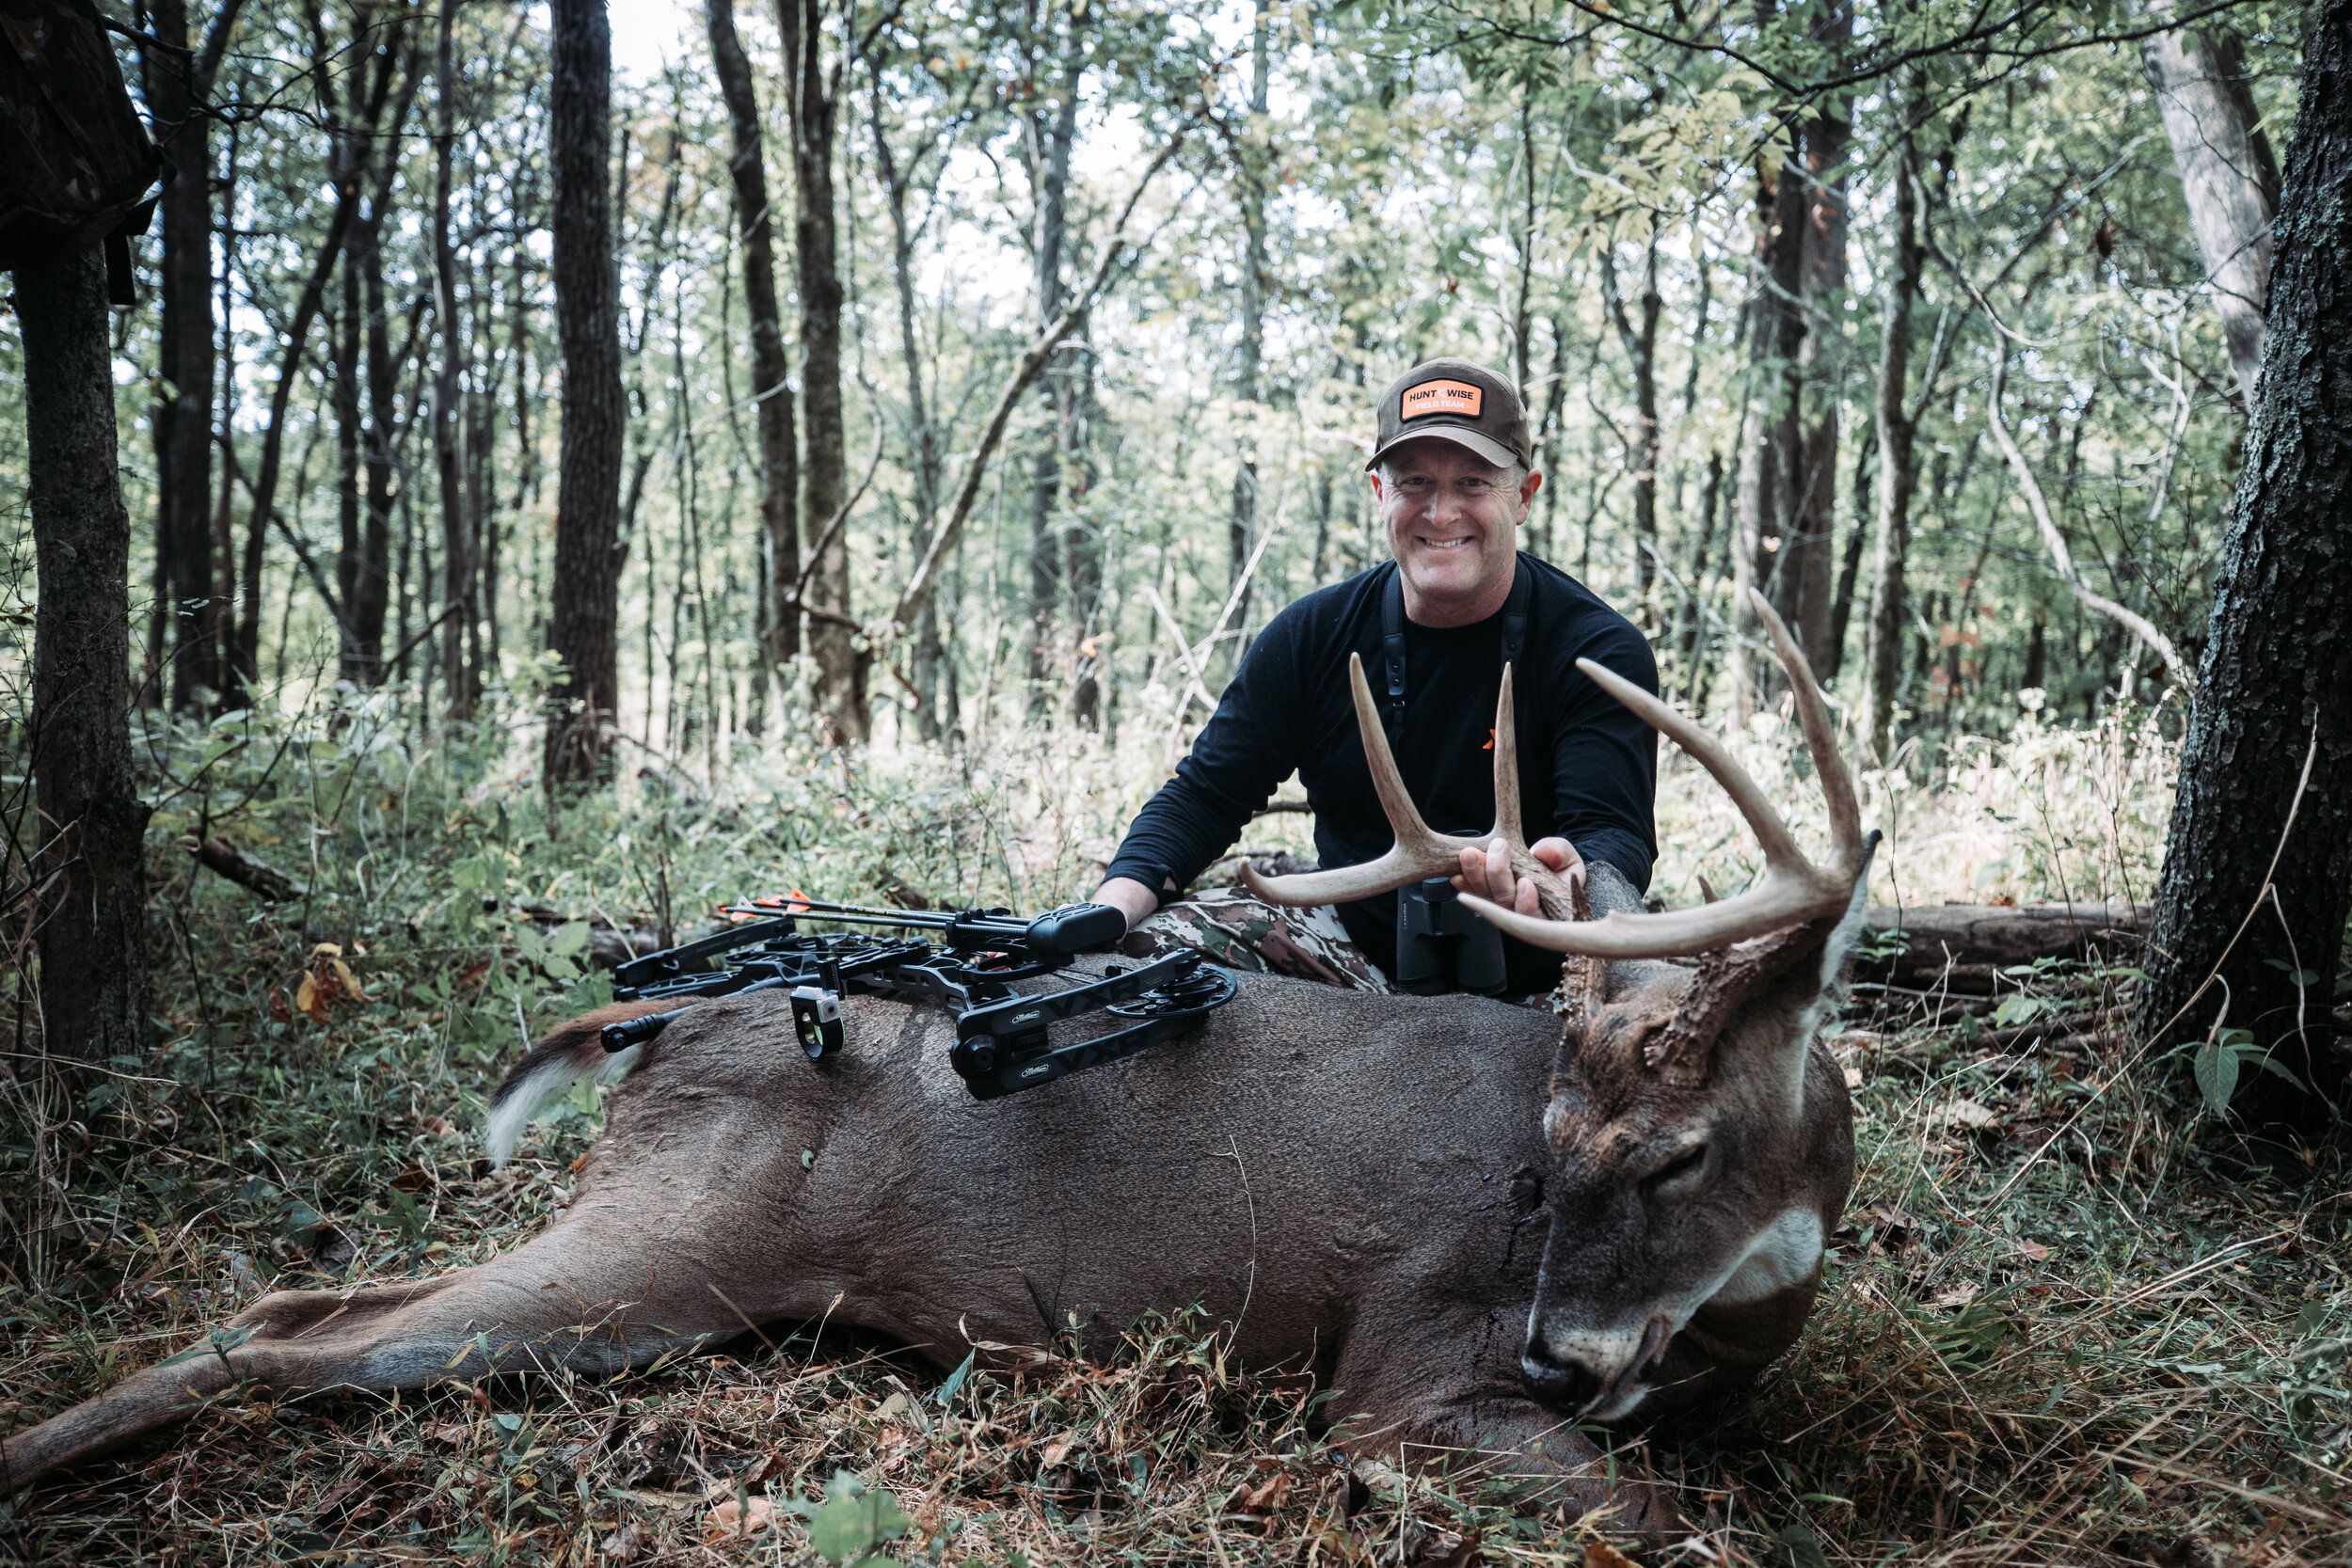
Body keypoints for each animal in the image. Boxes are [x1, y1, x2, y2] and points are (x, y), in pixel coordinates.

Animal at [0, 594, 1872, 1542]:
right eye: (1553, 1143)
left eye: (1679, 1146)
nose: (1564, 1353)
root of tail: (659, 1022)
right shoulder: (1401, 1368)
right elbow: (1668, 1518)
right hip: (664, 1239)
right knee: (286, 1336)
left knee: (298, 1303)